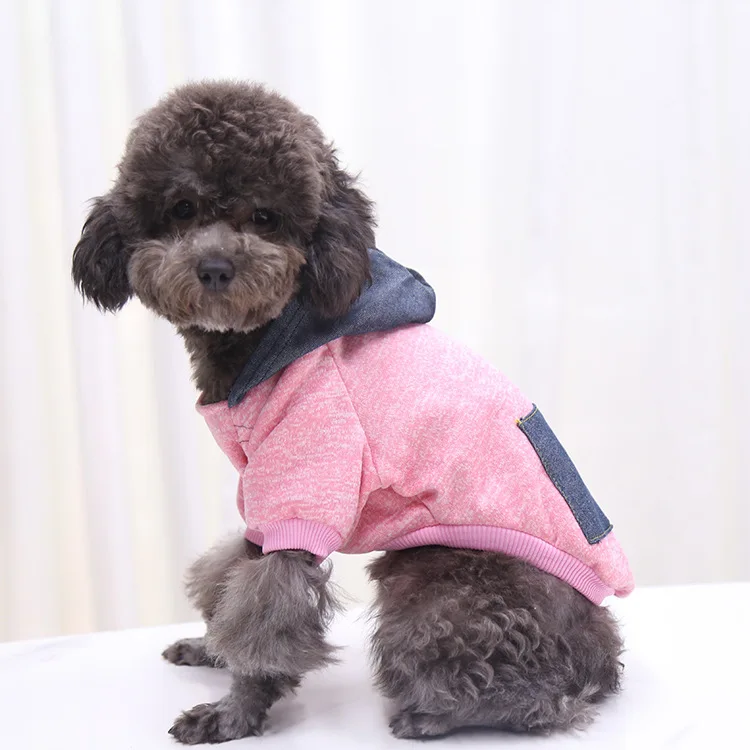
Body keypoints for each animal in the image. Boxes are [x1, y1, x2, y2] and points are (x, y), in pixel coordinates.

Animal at [72, 80, 633, 743]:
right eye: (182, 209)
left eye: (265, 217)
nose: (215, 268)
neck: (270, 337)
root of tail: (601, 651)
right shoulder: (262, 494)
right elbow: (232, 577)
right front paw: (210, 650)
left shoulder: (305, 475)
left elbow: (265, 614)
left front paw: (234, 711)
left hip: (438, 581)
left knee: (541, 696)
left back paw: (435, 714)